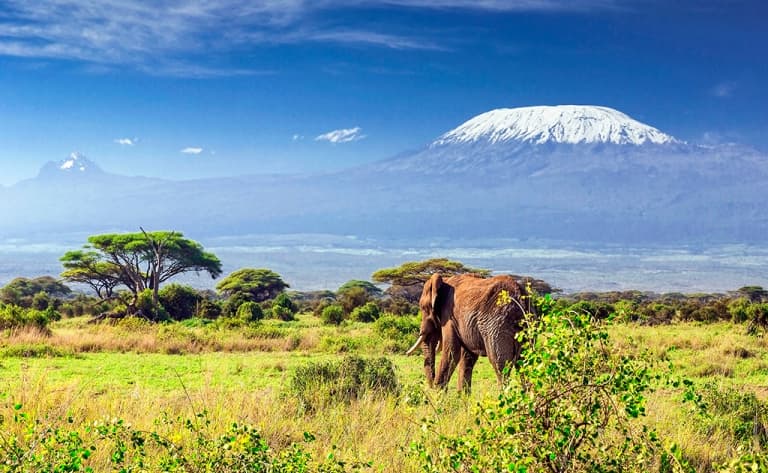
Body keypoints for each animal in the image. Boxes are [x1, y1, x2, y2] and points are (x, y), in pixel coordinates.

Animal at [404, 272, 532, 390]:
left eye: (423, 308)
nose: (431, 386)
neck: (445, 280)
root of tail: (520, 298)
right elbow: (467, 357)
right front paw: (462, 398)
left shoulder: (449, 316)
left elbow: (452, 353)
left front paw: (438, 395)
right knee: (526, 363)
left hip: (497, 326)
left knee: (500, 365)